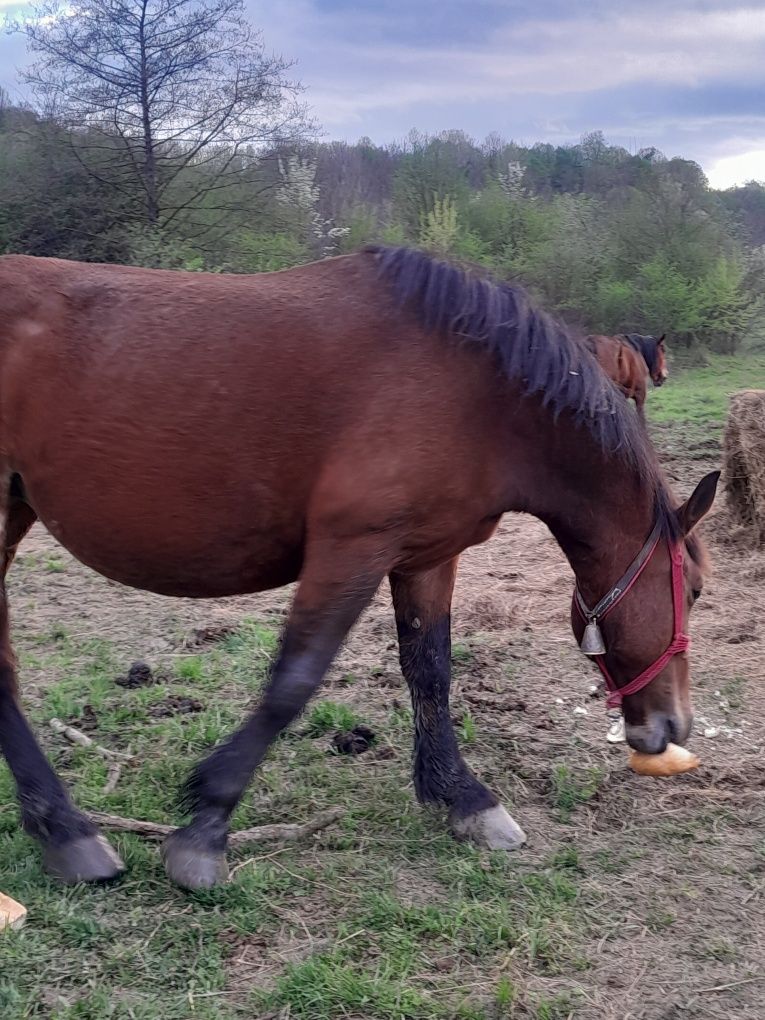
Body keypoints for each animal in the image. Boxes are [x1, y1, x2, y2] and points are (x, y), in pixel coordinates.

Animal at [0, 246, 718, 885]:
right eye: (696, 590)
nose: (671, 726)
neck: (474, 389)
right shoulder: (351, 548)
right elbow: (293, 681)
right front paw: (207, 825)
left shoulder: (427, 556)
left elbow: (430, 671)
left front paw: (461, 796)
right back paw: (67, 831)